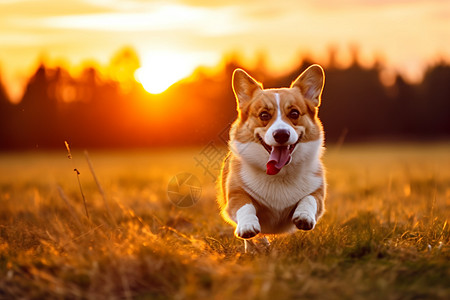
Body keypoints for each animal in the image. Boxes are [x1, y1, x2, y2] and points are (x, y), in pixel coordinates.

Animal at [217, 64, 326, 240]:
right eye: (264, 115)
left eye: (294, 113)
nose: (281, 134)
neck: (280, 174)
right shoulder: (235, 193)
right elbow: (245, 205)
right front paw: (248, 225)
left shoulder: (318, 192)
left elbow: (310, 198)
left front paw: (304, 216)